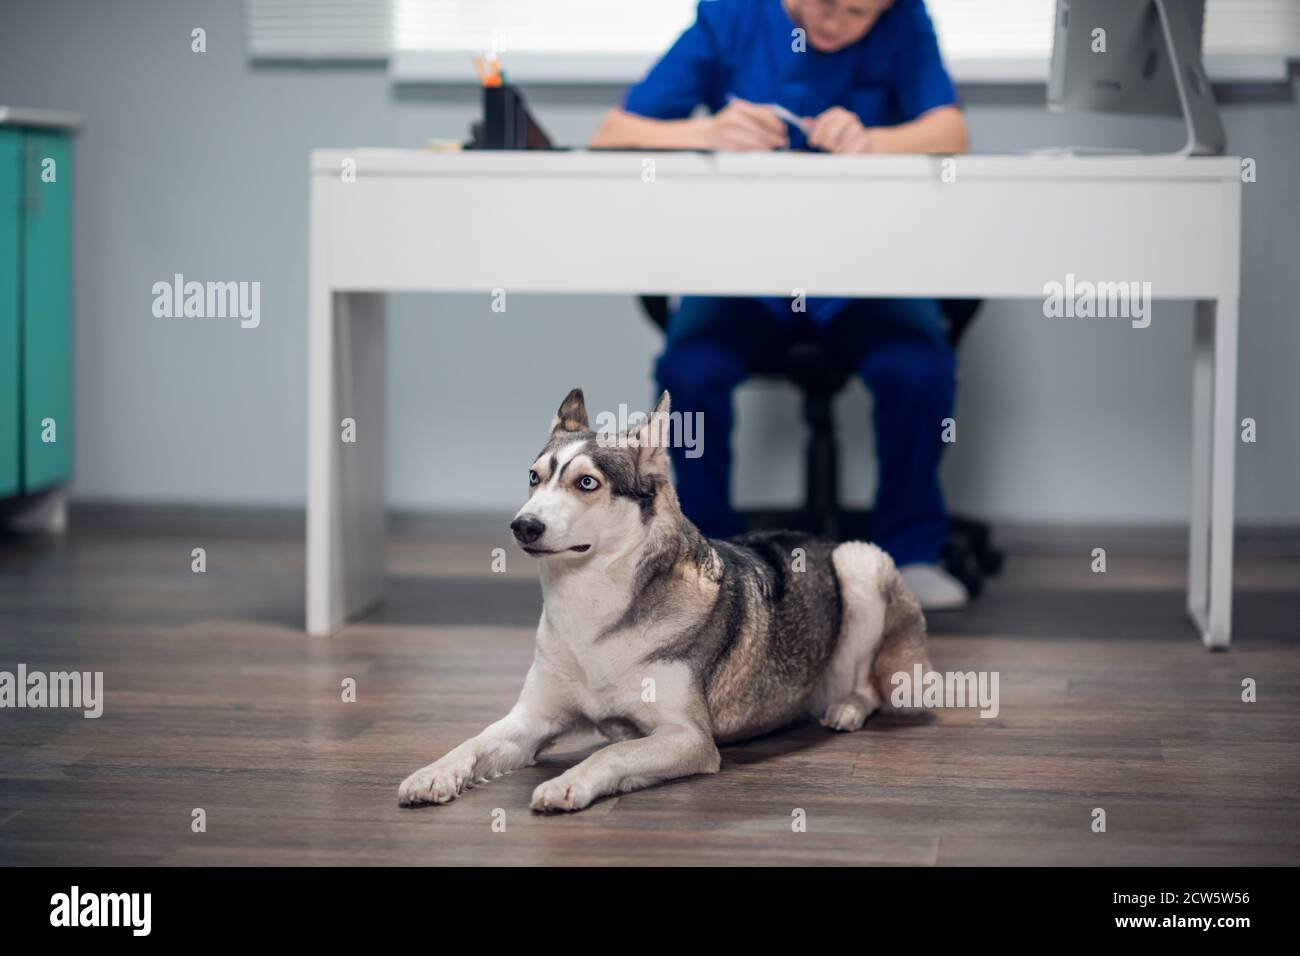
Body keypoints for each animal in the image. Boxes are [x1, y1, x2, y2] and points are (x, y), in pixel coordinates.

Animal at [397, 390, 935, 816]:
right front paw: (433, 773)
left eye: (586, 483)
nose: (522, 526)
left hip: (859, 561)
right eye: (534, 477)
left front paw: (569, 782)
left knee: (868, 684)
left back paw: (845, 708)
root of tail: (820, 534)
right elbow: (473, 741)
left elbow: (610, 753)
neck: (591, 607)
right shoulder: (533, 721)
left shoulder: (689, 739)